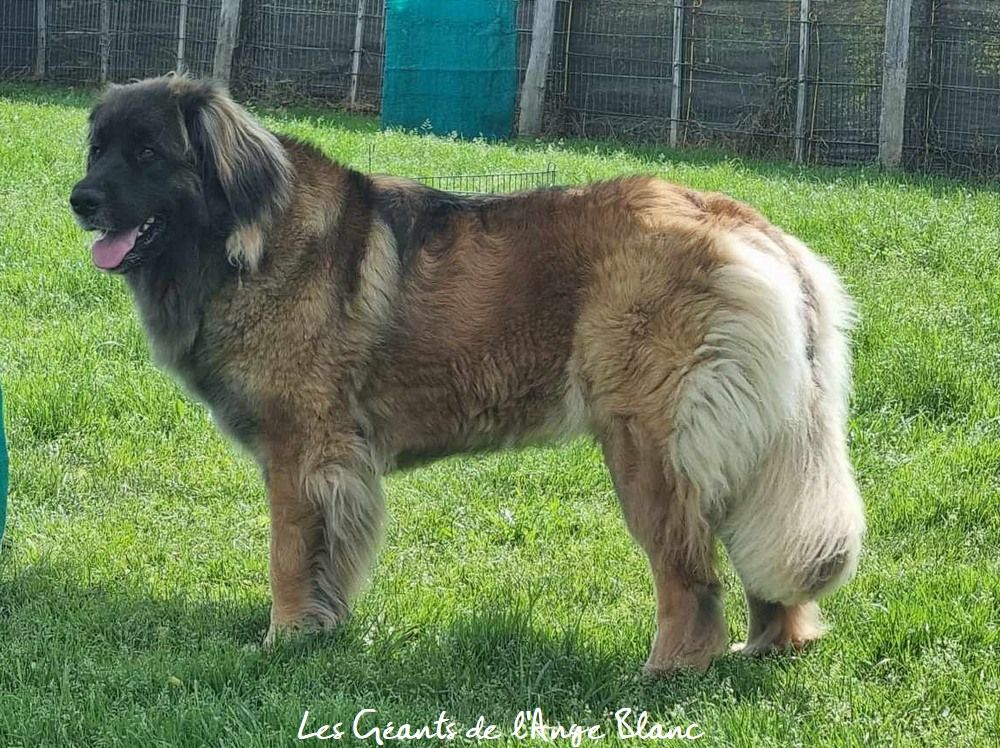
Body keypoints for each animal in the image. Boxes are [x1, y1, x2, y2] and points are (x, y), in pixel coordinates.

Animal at [72, 76, 868, 672]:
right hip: (753, 441)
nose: (80, 198)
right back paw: (768, 647)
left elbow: (290, 555)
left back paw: (667, 671)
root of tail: (747, 225)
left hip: (650, 444)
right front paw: (322, 630)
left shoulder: (301, 451)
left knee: (689, 577)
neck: (245, 240)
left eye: (149, 153)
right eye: (98, 148)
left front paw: (284, 637)